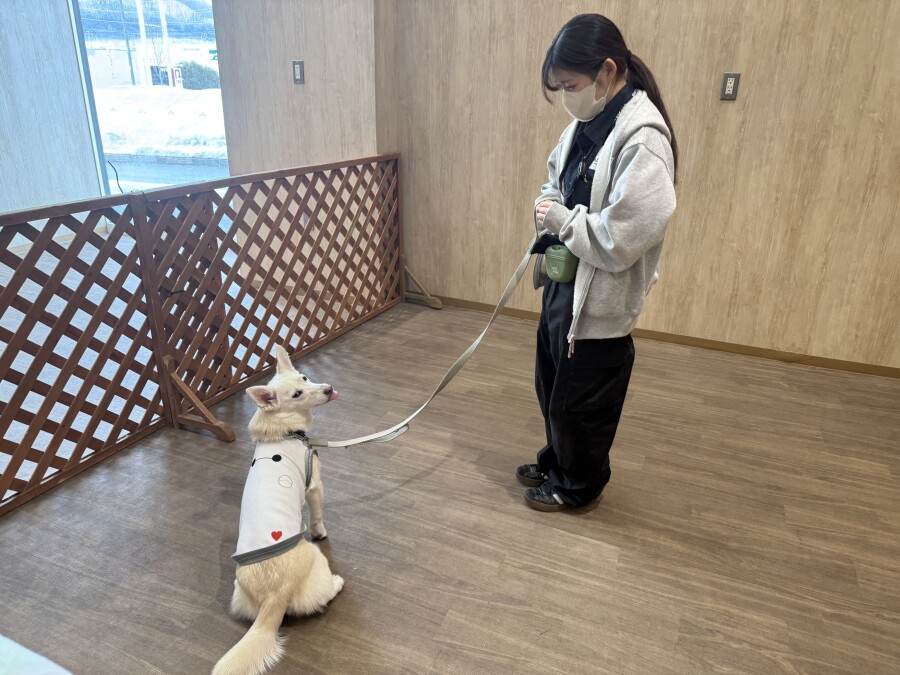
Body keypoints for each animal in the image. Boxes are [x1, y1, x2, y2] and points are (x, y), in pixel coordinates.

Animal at [213, 345, 344, 675]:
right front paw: (321, 531)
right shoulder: (315, 486)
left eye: (304, 377)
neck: (284, 431)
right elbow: (318, 516)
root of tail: (275, 598)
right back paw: (336, 583)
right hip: (317, 560)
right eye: (297, 394)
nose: (328, 388)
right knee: (325, 593)